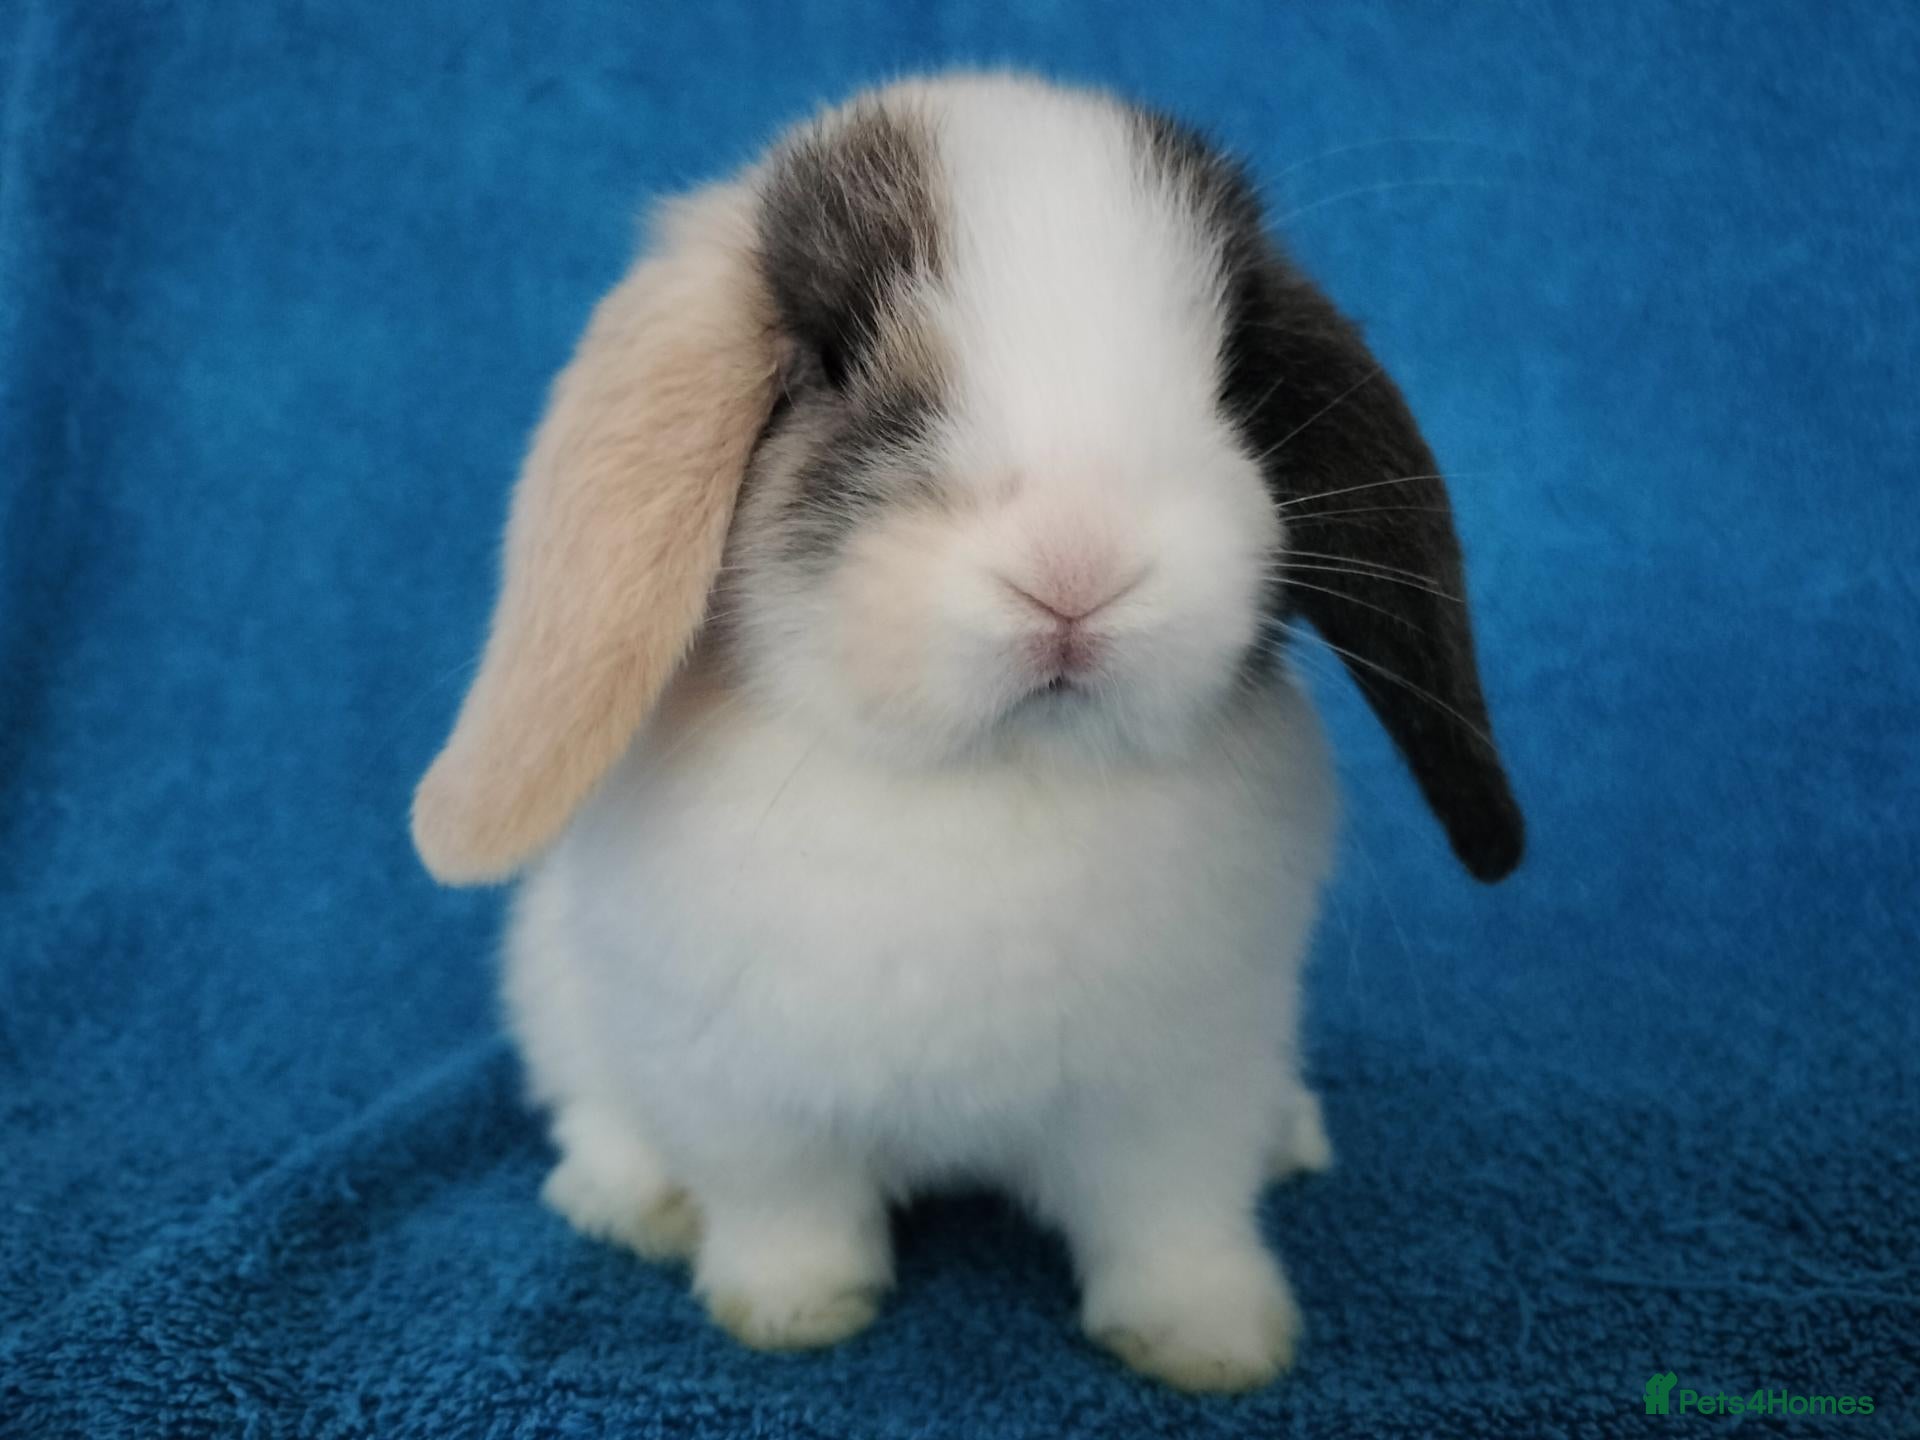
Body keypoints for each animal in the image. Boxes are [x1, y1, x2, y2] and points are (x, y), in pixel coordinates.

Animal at [410, 72, 1523, 1393]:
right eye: (832, 365)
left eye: (1232, 379)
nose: (1076, 568)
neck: (999, 778)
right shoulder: (744, 1096)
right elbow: (785, 1210)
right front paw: (789, 1310)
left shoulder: (1181, 1087)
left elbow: (1175, 1222)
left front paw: (1214, 1344)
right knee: (597, 1110)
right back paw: (629, 1202)